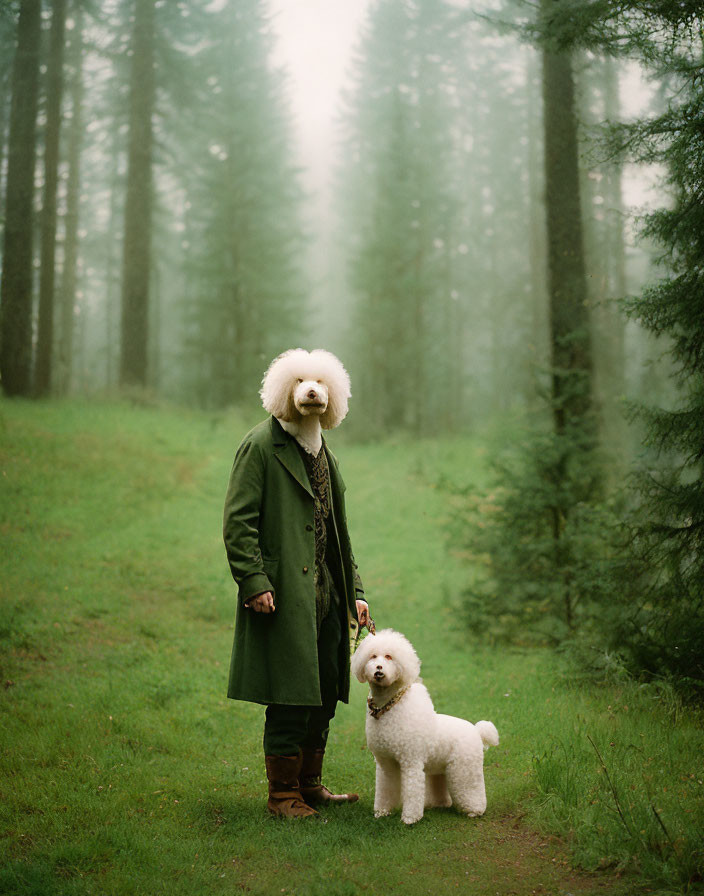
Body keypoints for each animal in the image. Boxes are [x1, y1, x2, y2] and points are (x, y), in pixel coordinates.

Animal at [350, 632, 496, 824]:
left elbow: (412, 791)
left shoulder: (410, 762)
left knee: (471, 788)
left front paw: (410, 819)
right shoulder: (386, 764)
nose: (378, 668)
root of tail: (477, 731)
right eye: (373, 656)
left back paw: (474, 811)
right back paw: (439, 804)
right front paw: (382, 812)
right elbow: (385, 789)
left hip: (465, 768)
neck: (388, 707)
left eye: (389, 657)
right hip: (440, 768)